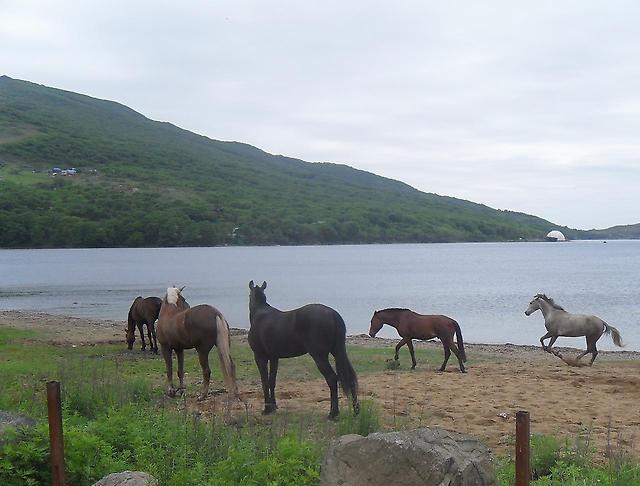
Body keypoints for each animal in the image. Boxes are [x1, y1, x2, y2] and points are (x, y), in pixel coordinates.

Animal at [249, 280, 360, 418]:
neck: (260, 314)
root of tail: (332, 313)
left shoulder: (260, 356)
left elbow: (264, 382)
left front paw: (267, 409)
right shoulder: (274, 358)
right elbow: (271, 381)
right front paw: (273, 407)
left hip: (319, 356)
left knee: (332, 378)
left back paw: (333, 413)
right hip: (338, 352)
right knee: (350, 379)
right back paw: (356, 411)